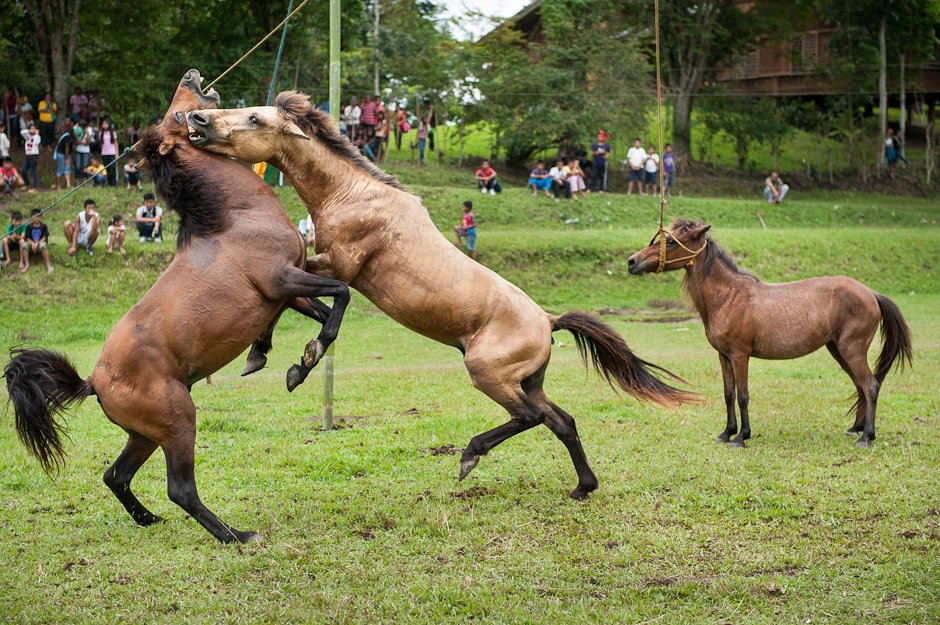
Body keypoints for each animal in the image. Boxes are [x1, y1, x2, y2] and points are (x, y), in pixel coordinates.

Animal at [3, 71, 350, 543]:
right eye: (180, 117)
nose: (191, 76)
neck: (235, 216)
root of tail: (93, 381)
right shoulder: (283, 278)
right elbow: (342, 294)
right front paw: (295, 355)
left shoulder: (287, 290)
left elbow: (321, 311)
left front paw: (291, 360)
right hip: (179, 422)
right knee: (180, 489)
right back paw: (237, 536)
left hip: (146, 435)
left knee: (115, 475)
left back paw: (148, 518)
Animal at [185, 91, 698, 501]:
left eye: (255, 118)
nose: (197, 119)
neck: (351, 195)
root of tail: (548, 322)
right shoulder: (312, 266)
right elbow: (291, 301)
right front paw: (263, 355)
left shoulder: (338, 266)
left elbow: (328, 305)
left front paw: (304, 359)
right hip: (527, 380)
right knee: (561, 421)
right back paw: (582, 487)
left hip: (487, 372)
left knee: (530, 417)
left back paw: (470, 455)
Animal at [627, 218, 912, 448]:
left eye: (671, 242)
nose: (632, 261)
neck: (728, 296)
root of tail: (871, 293)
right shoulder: (724, 356)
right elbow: (728, 394)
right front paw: (726, 433)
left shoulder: (740, 355)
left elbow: (743, 396)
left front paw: (741, 436)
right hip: (838, 350)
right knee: (860, 385)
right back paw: (857, 428)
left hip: (851, 350)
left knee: (870, 385)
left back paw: (867, 437)